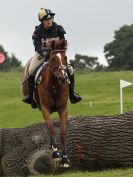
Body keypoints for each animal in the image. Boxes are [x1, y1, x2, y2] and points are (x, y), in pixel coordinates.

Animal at [22, 39, 69, 168]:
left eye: (65, 57)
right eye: (52, 59)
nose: (63, 78)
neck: (54, 85)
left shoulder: (63, 109)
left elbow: (63, 132)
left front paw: (65, 159)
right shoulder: (45, 108)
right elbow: (51, 129)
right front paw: (56, 154)